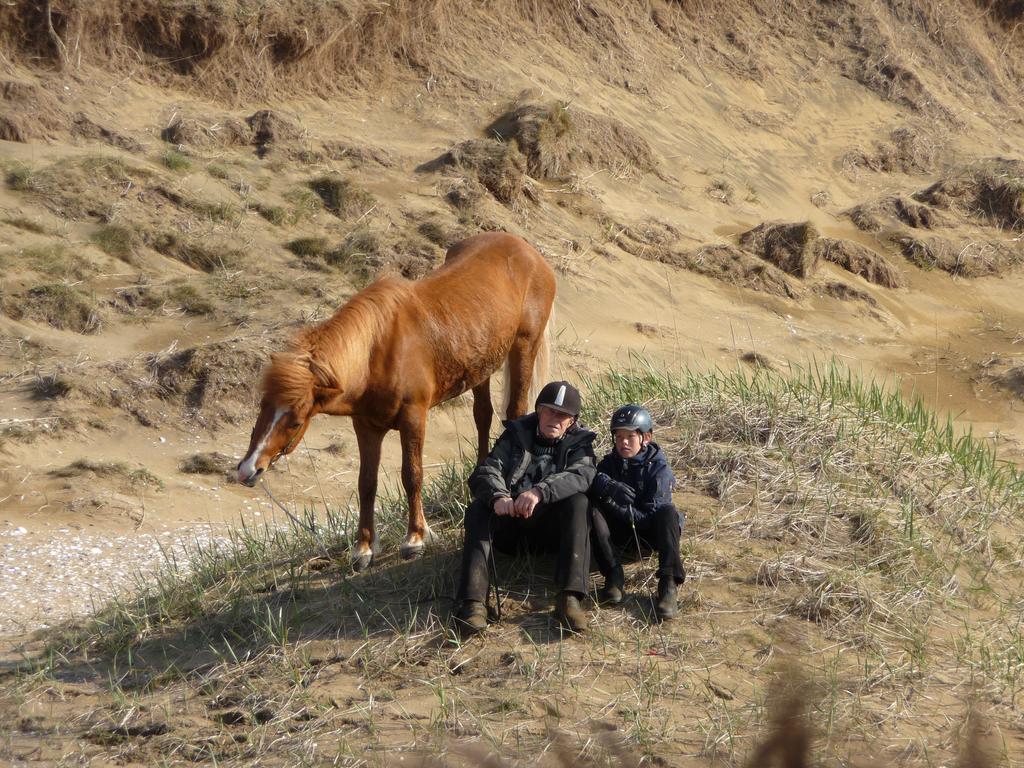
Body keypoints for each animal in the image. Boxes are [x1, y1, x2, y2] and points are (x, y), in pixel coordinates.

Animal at [234, 231, 552, 569]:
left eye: (295, 420)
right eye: (262, 407)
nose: (247, 470)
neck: (376, 352)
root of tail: (527, 250)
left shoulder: (413, 418)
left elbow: (412, 475)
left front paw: (415, 538)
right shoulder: (366, 427)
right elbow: (366, 483)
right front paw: (363, 548)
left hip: (523, 349)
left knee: (514, 412)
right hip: (482, 367)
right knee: (483, 416)